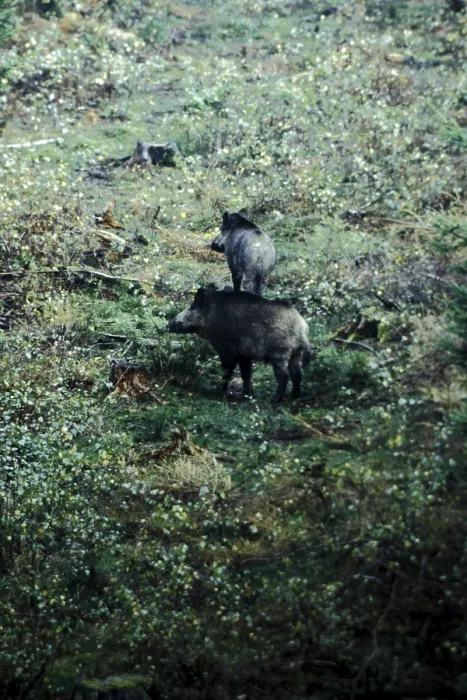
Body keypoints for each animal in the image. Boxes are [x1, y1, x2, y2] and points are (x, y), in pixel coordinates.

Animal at [166, 288, 312, 401]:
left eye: (192, 306)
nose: (166, 326)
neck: (211, 315)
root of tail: (301, 328)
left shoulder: (226, 350)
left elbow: (228, 371)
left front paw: (219, 391)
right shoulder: (244, 355)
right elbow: (245, 373)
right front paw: (248, 395)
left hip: (280, 353)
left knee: (284, 375)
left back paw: (275, 399)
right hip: (296, 353)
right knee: (297, 373)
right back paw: (293, 396)